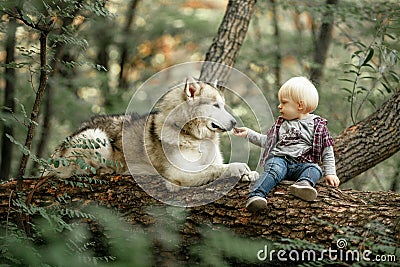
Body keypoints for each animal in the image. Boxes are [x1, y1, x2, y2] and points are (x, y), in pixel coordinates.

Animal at [50, 78, 258, 188]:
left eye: (223, 105)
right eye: (215, 106)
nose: (235, 122)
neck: (189, 134)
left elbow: (220, 166)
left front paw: (250, 174)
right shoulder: (180, 173)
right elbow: (218, 168)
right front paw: (238, 167)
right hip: (96, 137)